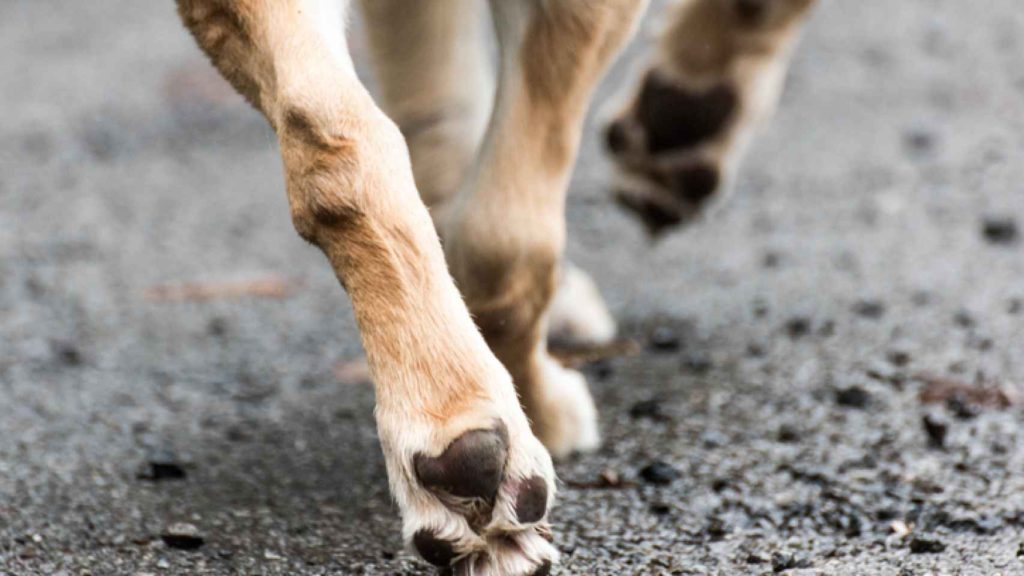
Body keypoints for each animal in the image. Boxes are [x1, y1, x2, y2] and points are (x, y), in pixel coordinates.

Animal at [174, 0, 815, 569]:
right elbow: (506, 235)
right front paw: (688, 109)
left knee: (328, 138)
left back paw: (452, 430)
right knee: (505, 235)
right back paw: (489, 439)